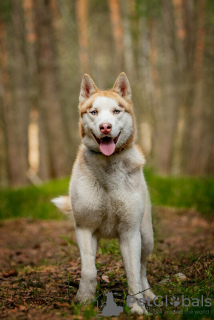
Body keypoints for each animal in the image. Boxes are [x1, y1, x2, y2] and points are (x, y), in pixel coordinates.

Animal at [51, 73, 155, 316]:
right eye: (94, 112)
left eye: (116, 111)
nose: (105, 127)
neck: (108, 168)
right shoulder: (85, 228)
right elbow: (89, 270)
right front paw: (84, 301)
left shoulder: (130, 233)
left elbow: (133, 273)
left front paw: (137, 308)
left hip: (147, 236)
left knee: (143, 268)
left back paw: (148, 295)